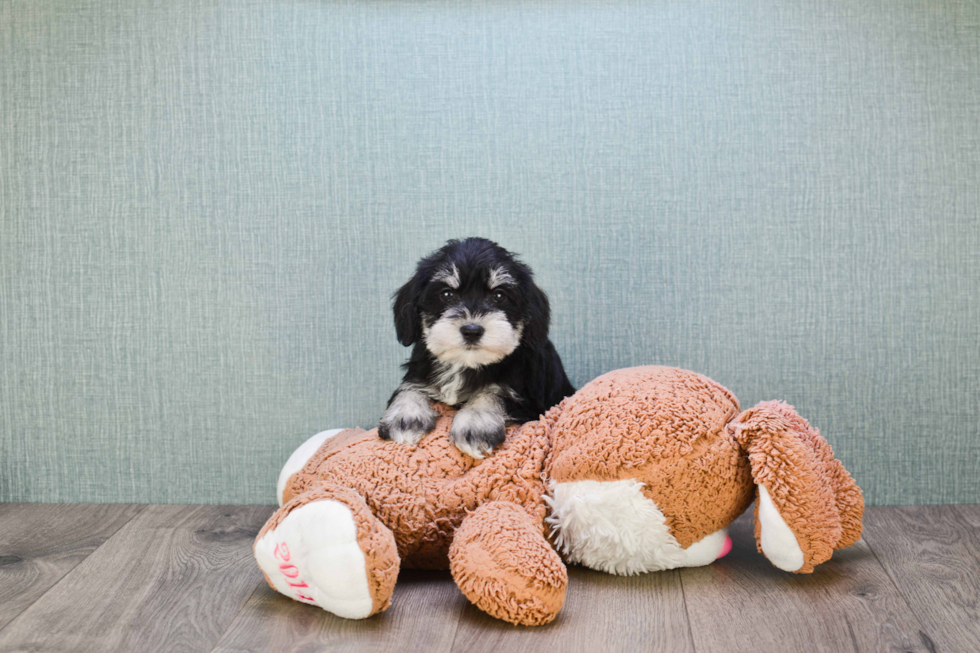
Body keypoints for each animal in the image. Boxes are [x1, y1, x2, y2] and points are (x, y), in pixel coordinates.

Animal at [376, 237, 576, 456]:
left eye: (499, 296)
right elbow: (408, 388)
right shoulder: (418, 373)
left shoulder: (530, 404)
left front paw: (475, 425)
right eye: (447, 294)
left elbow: (493, 394)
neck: (465, 364)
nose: (472, 330)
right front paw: (405, 418)